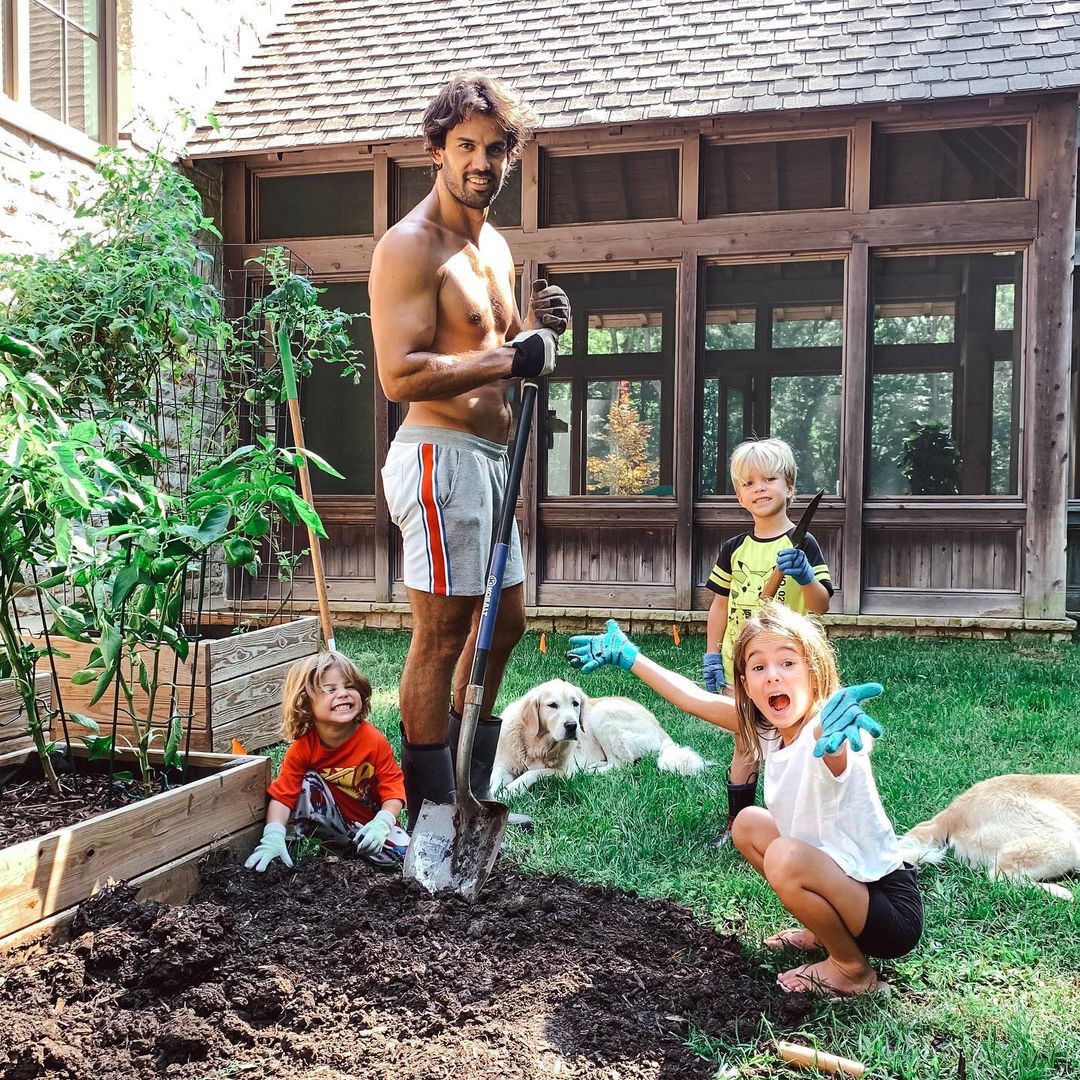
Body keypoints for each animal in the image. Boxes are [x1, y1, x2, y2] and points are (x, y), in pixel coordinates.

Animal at [492, 678, 708, 799]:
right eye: (552, 705)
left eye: (575, 703)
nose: (572, 726)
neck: (536, 744)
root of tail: (659, 727)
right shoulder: (503, 764)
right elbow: (494, 778)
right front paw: (493, 794)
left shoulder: (562, 772)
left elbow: (531, 774)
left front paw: (510, 791)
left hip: (602, 715)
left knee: (621, 765)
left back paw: (589, 771)